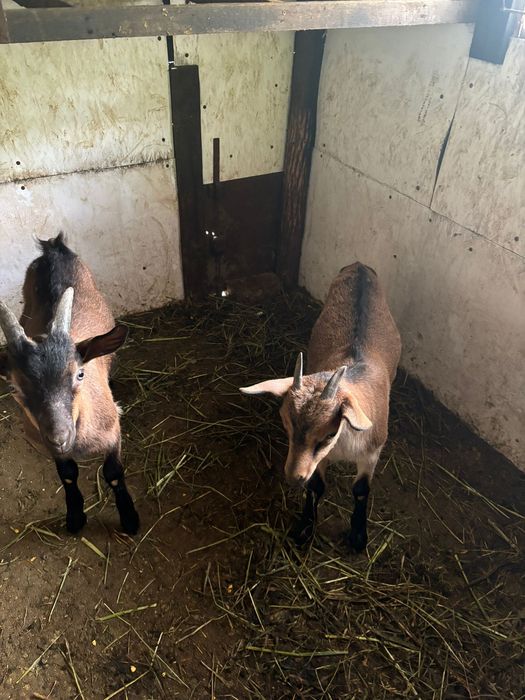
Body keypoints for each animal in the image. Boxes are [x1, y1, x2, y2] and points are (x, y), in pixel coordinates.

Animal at [0, 234, 139, 535]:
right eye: (15, 387)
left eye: (80, 375)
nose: (60, 437)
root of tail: (54, 247)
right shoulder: (52, 448)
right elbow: (67, 475)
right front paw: (75, 517)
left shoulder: (113, 433)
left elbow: (113, 474)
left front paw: (130, 519)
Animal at [240, 263, 400, 551]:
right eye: (286, 426)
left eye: (328, 434)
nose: (294, 477)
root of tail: (359, 265)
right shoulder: (319, 461)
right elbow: (316, 486)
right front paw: (305, 529)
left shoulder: (372, 451)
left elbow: (361, 490)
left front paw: (358, 537)